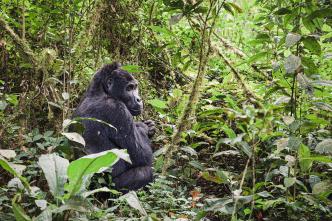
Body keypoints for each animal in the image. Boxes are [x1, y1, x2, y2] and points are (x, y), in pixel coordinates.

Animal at [72, 62, 155, 192]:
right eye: (129, 88)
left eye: (135, 87)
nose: (139, 99)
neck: (99, 91)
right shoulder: (116, 109)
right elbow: (144, 156)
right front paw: (144, 128)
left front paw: (146, 126)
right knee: (145, 171)